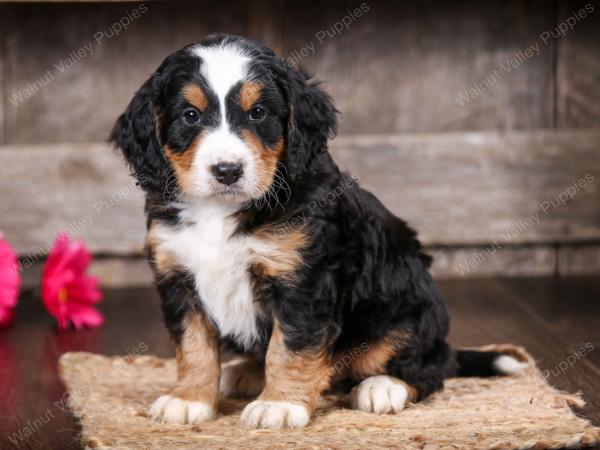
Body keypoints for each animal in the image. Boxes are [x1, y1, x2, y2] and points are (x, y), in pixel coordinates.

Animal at [110, 34, 528, 428]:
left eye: (258, 113)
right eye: (190, 115)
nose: (227, 171)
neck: (223, 210)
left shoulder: (303, 279)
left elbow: (291, 346)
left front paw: (279, 405)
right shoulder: (177, 274)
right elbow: (193, 345)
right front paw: (189, 399)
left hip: (406, 311)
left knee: (428, 366)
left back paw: (382, 387)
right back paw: (245, 372)